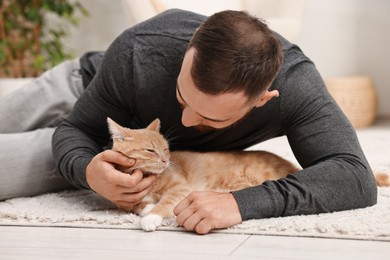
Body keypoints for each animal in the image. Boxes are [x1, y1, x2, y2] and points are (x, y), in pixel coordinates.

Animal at [106, 118, 298, 232]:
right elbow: (135, 205)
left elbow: (165, 203)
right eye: (150, 150)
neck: (150, 178)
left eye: (166, 149)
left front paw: (151, 216)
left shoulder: (180, 188)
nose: (165, 161)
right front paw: (146, 208)